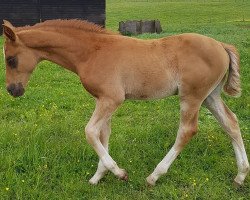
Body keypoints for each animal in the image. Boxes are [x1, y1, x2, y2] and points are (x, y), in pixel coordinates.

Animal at [1, 19, 248, 185]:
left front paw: (118, 172)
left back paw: (154, 176)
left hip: (192, 96)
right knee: (231, 123)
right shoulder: (103, 99)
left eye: (10, 60)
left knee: (187, 130)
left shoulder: (112, 99)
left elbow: (90, 131)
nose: (13, 90)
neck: (92, 52)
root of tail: (221, 45)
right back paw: (241, 175)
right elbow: (103, 134)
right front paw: (98, 176)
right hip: (210, 96)